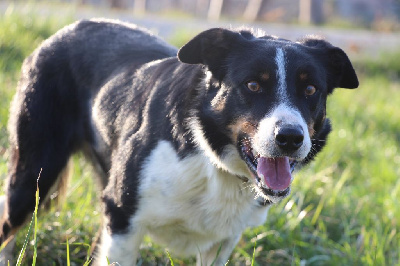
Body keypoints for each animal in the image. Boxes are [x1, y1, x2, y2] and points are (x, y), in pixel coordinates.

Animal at [0, 18, 358, 264]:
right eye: (253, 85)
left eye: (310, 90)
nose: (291, 138)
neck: (209, 158)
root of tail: (66, 30)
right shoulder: (123, 220)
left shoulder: (222, 242)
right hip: (33, 174)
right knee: (9, 222)